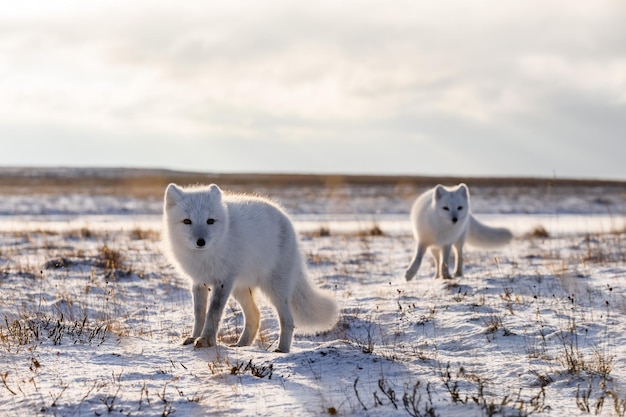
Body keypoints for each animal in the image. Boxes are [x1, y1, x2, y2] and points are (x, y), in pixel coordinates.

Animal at [161, 182, 336, 352]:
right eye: (187, 221)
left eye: (210, 221)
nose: (201, 242)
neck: (205, 255)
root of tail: (286, 218)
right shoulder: (198, 282)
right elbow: (199, 314)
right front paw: (194, 337)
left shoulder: (223, 281)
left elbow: (213, 312)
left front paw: (206, 340)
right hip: (240, 289)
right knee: (255, 315)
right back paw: (242, 345)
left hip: (275, 289)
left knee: (287, 320)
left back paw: (281, 350)